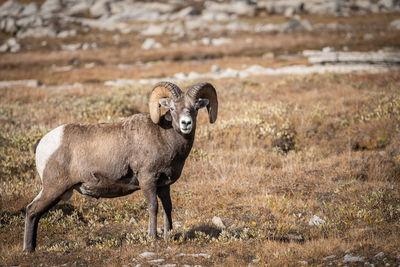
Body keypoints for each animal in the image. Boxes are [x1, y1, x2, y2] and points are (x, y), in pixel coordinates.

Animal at [24, 81, 219, 253]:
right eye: (172, 108)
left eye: (195, 108)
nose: (186, 124)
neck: (164, 137)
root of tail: (43, 143)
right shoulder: (147, 180)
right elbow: (153, 206)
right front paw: (153, 238)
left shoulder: (164, 185)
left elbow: (167, 207)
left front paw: (168, 236)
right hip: (54, 188)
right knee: (32, 210)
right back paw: (28, 250)